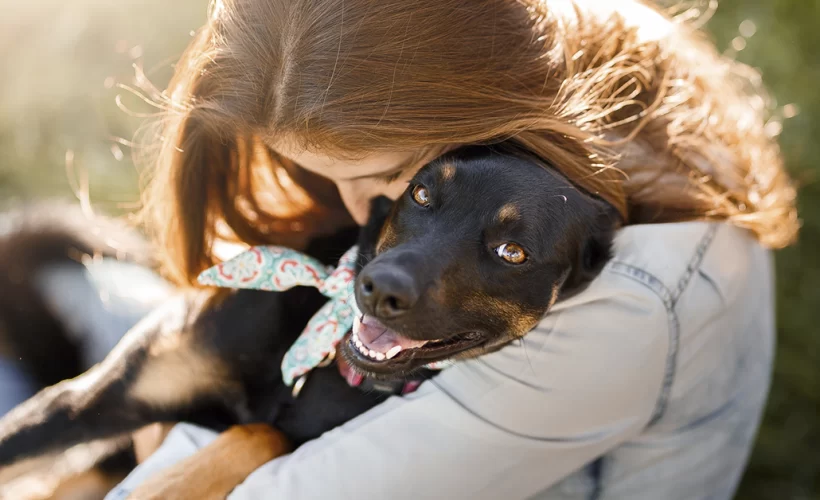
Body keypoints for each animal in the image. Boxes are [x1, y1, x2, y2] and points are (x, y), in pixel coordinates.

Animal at [0, 145, 620, 496]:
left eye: (512, 252)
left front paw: (172, 484)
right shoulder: (87, 403)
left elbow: (264, 433)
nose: (378, 289)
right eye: (421, 194)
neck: (317, 355)